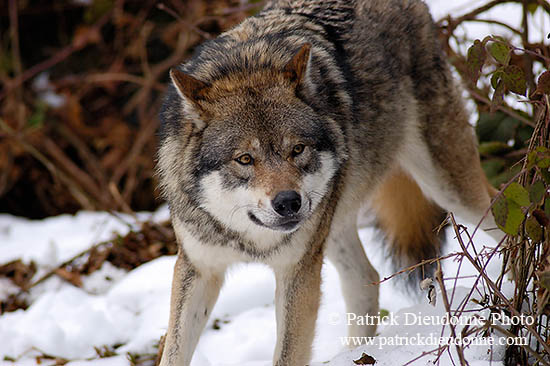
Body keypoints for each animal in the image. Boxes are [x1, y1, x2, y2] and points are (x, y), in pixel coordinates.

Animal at [155, 0, 504, 364]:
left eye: (297, 149)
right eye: (245, 159)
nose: (288, 202)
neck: (248, 237)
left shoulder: (298, 270)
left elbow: (287, 354)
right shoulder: (197, 268)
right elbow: (173, 352)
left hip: (449, 191)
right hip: (332, 226)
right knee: (367, 278)